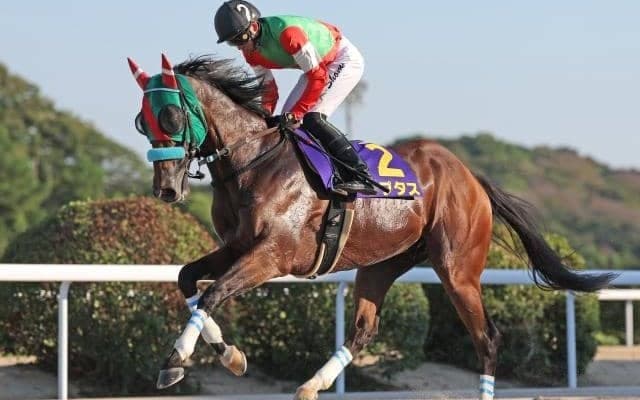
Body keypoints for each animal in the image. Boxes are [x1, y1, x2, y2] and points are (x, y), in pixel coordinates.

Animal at [127, 53, 615, 400]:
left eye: (170, 116)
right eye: (141, 121)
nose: (166, 189)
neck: (254, 161)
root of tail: (472, 179)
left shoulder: (273, 255)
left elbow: (212, 292)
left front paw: (178, 359)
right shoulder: (237, 245)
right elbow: (188, 280)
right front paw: (228, 356)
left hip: (457, 270)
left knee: (488, 338)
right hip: (383, 262)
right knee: (365, 329)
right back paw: (312, 385)